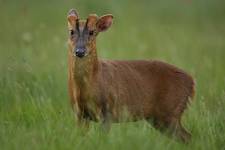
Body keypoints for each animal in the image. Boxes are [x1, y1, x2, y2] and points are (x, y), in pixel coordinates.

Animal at [67, 8, 195, 142]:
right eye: (71, 31)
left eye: (92, 32)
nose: (80, 51)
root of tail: (192, 82)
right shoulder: (79, 114)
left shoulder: (107, 110)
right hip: (158, 119)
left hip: (171, 111)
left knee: (189, 137)